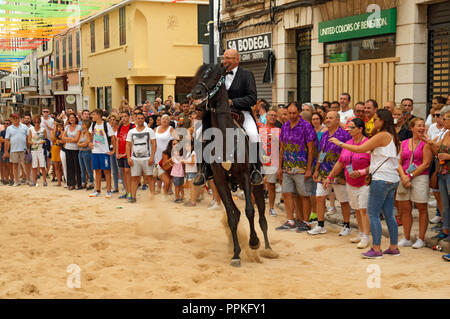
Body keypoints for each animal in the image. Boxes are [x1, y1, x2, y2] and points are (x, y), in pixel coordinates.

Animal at [189, 63, 276, 268]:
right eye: (198, 76)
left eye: (215, 76)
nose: (196, 93)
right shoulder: (220, 180)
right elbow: (231, 215)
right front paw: (236, 254)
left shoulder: (244, 176)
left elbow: (250, 211)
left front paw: (254, 242)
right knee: (236, 212)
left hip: (256, 185)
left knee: (262, 216)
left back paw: (267, 248)